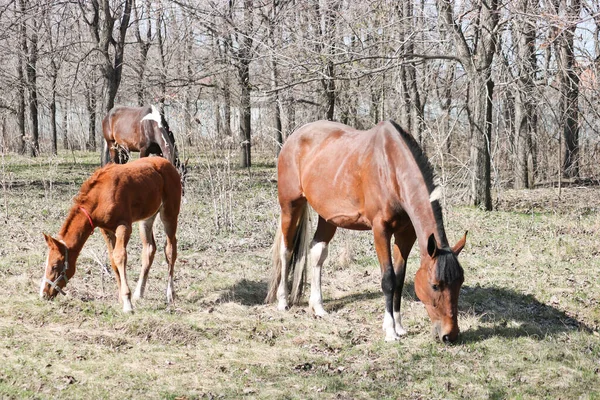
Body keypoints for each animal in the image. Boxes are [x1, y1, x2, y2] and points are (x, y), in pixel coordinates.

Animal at [40, 157, 182, 312]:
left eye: (55, 266)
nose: (44, 294)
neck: (100, 197)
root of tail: (168, 163)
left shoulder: (124, 226)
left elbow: (120, 256)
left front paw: (127, 303)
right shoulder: (106, 230)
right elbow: (113, 260)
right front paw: (121, 298)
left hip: (169, 214)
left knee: (170, 250)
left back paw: (170, 294)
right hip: (146, 218)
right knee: (149, 250)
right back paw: (139, 293)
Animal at [268, 119, 468, 344]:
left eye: (460, 282)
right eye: (434, 285)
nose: (450, 335)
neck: (391, 168)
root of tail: (294, 137)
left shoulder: (406, 234)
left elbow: (399, 278)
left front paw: (399, 327)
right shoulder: (380, 230)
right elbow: (388, 279)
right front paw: (390, 331)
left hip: (328, 217)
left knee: (317, 252)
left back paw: (317, 307)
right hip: (290, 205)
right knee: (286, 251)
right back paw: (283, 301)